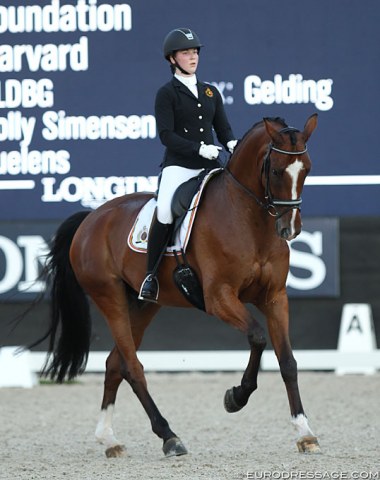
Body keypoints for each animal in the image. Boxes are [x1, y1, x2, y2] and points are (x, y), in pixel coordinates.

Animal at [37, 112, 320, 458]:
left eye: (306, 169)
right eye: (277, 170)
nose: (290, 229)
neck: (250, 220)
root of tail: (91, 219)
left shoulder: (275, 298)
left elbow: (288, 362)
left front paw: (304, 432)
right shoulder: (219, 297)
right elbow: (257, 337)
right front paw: (236, 397)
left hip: (144, 304)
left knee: (115, 364)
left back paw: (109, 439)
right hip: (109, 297)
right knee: (132, 367)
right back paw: (169, 436)